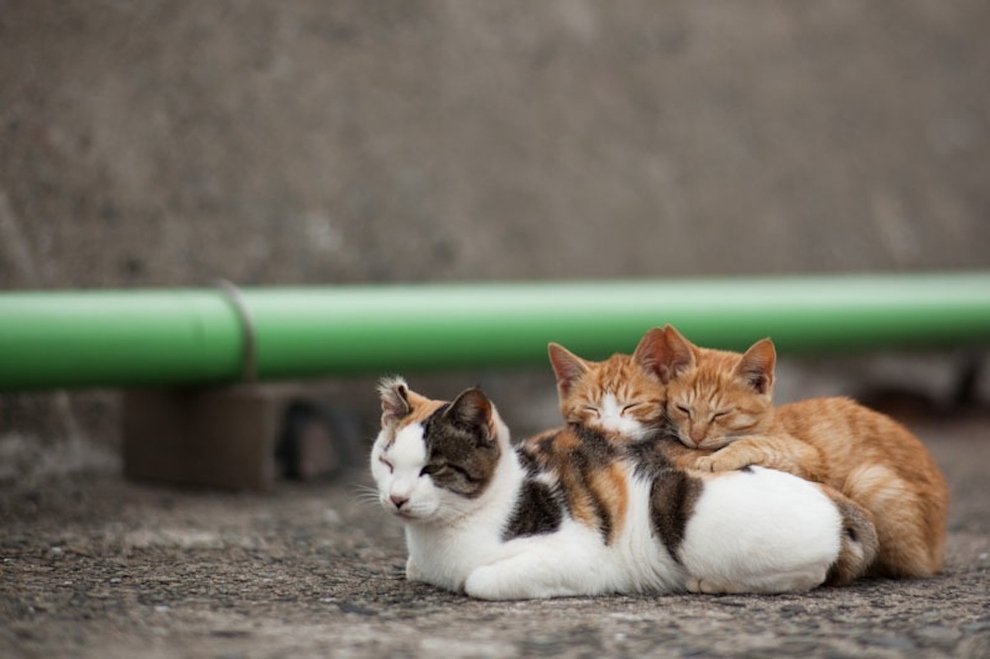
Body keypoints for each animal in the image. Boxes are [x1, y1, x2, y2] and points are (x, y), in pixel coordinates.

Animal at [370, 376, 876, 600]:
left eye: (432, 468)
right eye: (386, 462)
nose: (395, 498)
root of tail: (838, 500)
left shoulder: (584, 558)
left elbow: (477, 581)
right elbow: (413, 568)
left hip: (676, 501)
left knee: (806, 575)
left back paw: (707, 582)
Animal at [656, 328, 948, 580]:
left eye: (721, 414)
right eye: (683, 409)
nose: (696, 436)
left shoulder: (808, 457)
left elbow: (758, 444)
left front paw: (719, 457)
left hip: (871, 482)